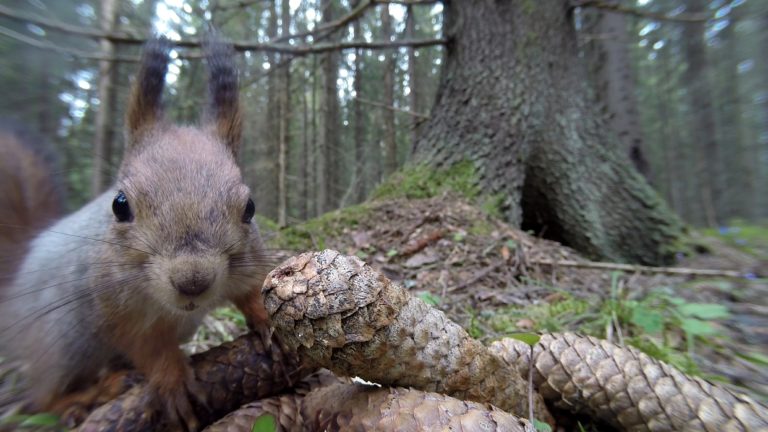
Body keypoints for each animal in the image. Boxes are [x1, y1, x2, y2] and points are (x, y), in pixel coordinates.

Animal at [0, 36, 270, 428]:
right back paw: (86, 397)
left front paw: (265, 314)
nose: (192, 281)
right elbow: (146, 345)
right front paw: (171, 380)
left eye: (249, 207)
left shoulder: (249, 260)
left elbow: (252, 288)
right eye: (120, 205)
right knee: (44, 397)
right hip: (63, 341)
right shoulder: (115, 305)